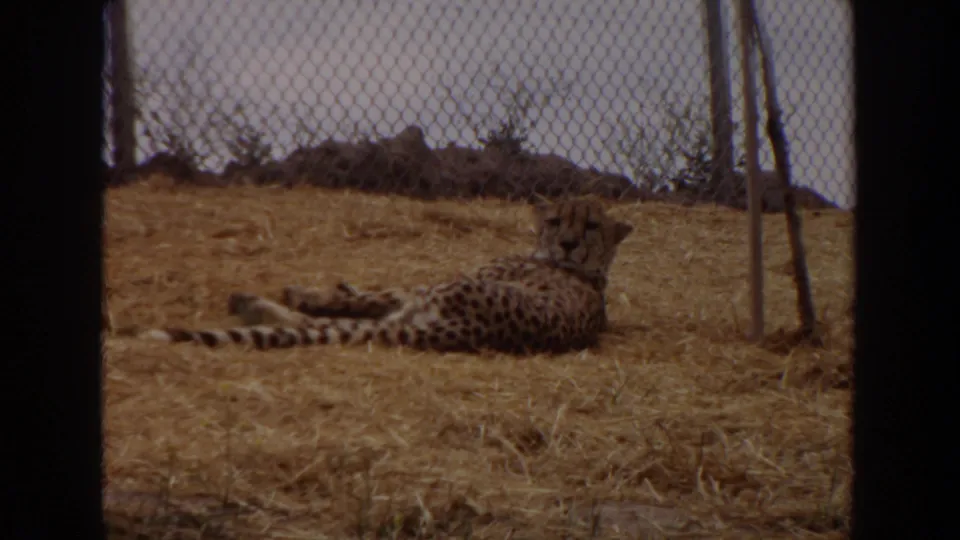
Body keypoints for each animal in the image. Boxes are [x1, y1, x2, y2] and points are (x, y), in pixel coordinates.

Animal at [136, 198, 634, 355]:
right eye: (557, 221)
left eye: (591, 225)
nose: (567, 243)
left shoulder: (422, 288)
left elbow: (369, 294)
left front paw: (315, 289)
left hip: (436, 293)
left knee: (327, 318)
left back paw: (255, 302)